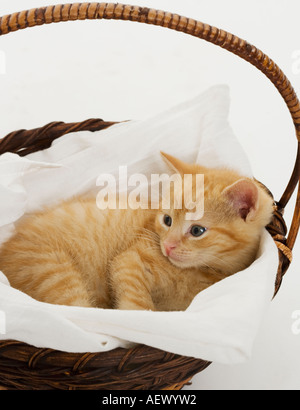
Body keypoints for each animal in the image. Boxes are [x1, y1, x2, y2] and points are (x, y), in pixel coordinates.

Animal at [0, 153, 274, 310]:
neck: (200, 273)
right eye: (167, 220)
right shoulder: (129, 260)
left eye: (197, 230)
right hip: (52, 271)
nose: (168, 246)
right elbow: (137, 302)